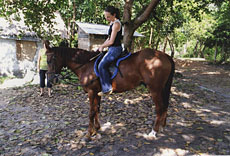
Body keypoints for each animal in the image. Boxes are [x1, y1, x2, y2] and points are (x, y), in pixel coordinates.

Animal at [44, 41, 174, 139]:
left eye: (50, 60)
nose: (50, 79)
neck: (86, 65)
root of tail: (165, 56)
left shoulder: (91, 92)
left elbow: (91, 112)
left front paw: (89, 133)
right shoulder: (97, 92)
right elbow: (96, 109)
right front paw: (97, 128)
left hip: (155, 89)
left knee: (160, 108)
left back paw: (154, 132)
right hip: (162, 88)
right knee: (165, 106)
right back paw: (162, 127)